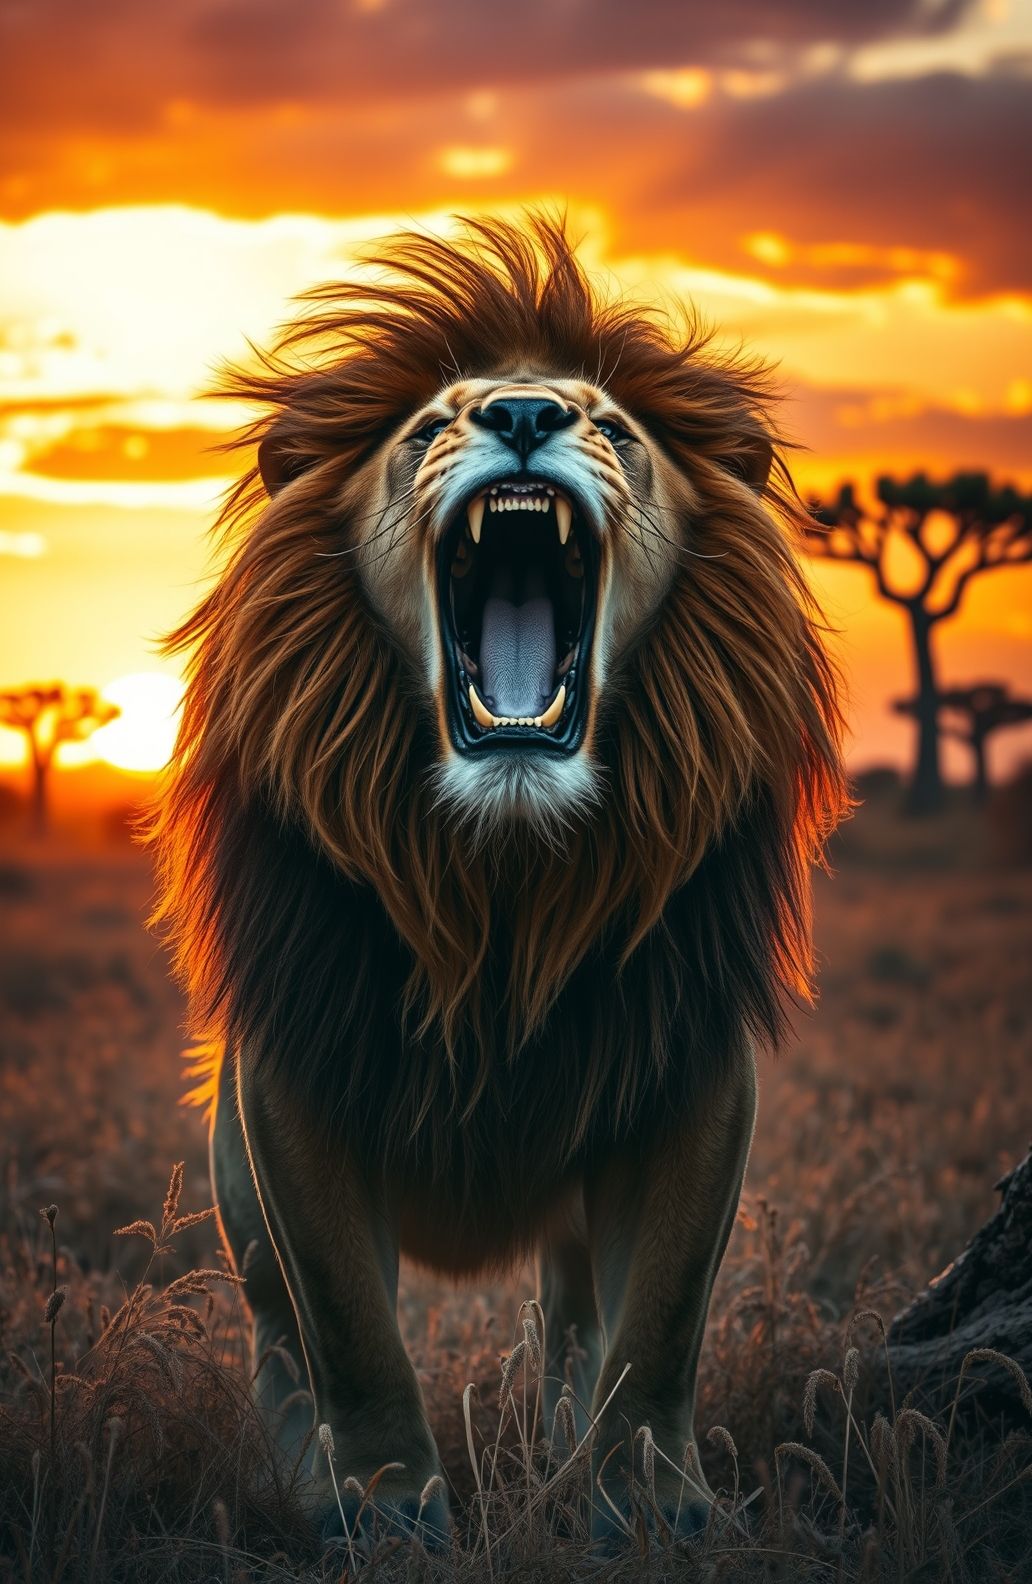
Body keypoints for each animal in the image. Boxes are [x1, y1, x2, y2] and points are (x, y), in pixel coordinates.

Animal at [151, 214, 847, 1550]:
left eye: (614, 429)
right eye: (429, 428)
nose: (525, 412)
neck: (503, 880)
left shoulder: (690, 1072)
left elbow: (660, 1324)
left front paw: (645, 1498)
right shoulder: (291, 1082)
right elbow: (349, 1329)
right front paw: (383, 1504)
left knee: (573, 1324)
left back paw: (568, 1450)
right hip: (236, 1199)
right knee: (278, 1342)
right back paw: (303, 1475)